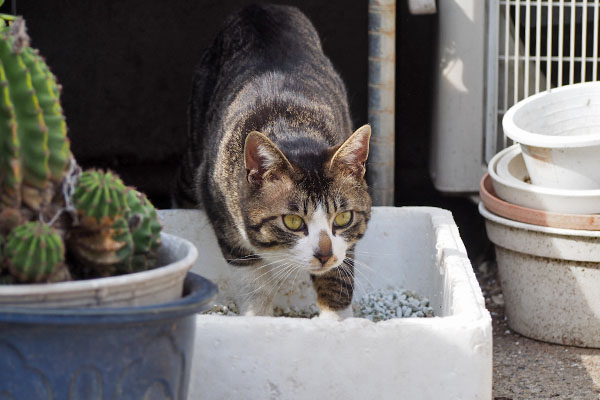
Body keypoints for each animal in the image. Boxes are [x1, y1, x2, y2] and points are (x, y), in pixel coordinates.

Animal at [173, 3, 370, 318]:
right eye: (292, 221)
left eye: (343, 217)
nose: (324, 253)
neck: (294, 128)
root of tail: (260, 6)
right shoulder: (221, 208)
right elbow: (253, 280)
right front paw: (258, 317)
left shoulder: (345, 241)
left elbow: (338, 277)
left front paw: (337, 320)